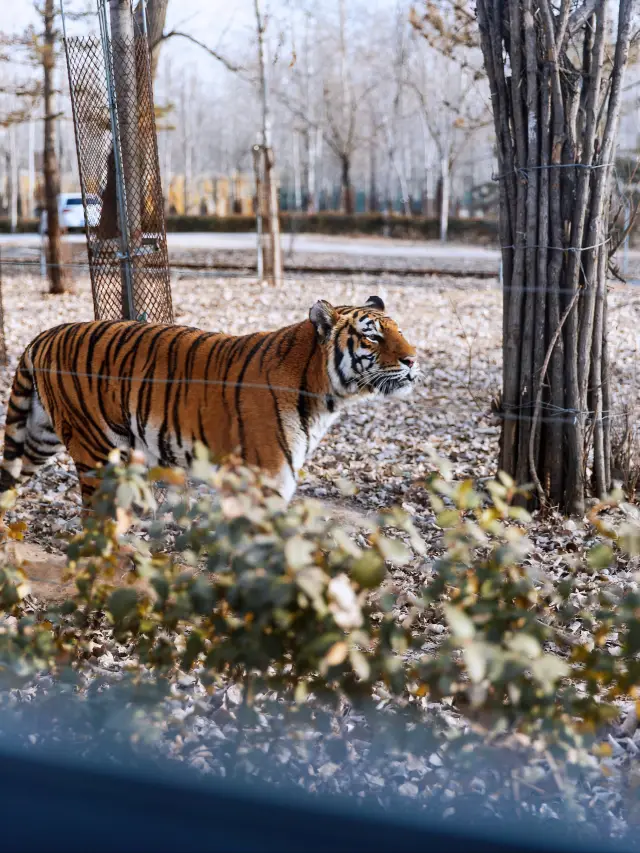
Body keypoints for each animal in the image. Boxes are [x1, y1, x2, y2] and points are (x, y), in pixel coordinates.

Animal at [0, 294, 420, 512]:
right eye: (372, 338)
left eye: (400, 331)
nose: (413, 359)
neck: (324, 395)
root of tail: (44, 334)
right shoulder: (264, 480)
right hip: (97, 453)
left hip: (41, 439)